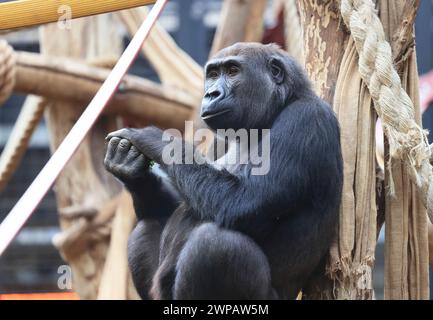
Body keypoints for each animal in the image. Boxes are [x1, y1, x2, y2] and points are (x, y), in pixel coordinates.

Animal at [103, 42, 342, 300]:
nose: (211, 94)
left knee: (215, 244)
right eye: (214, 74)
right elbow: (176, 204)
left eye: (233, 71)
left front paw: (155, 139)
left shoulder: (306, 119)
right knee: (146, 227)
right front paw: (132, 171)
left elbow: (245, 202)